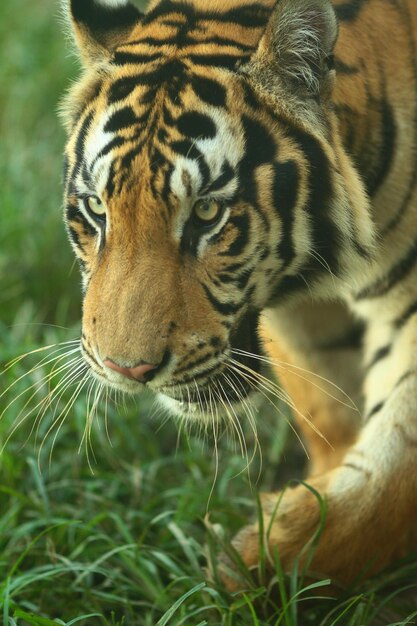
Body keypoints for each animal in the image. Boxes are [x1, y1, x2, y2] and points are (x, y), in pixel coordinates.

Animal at [60, 0, 416, 588]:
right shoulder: (300, 320)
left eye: (207, 212)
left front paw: (242, 565)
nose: (126, 370)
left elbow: (394, 468)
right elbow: (329, 413)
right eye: (96, 209)